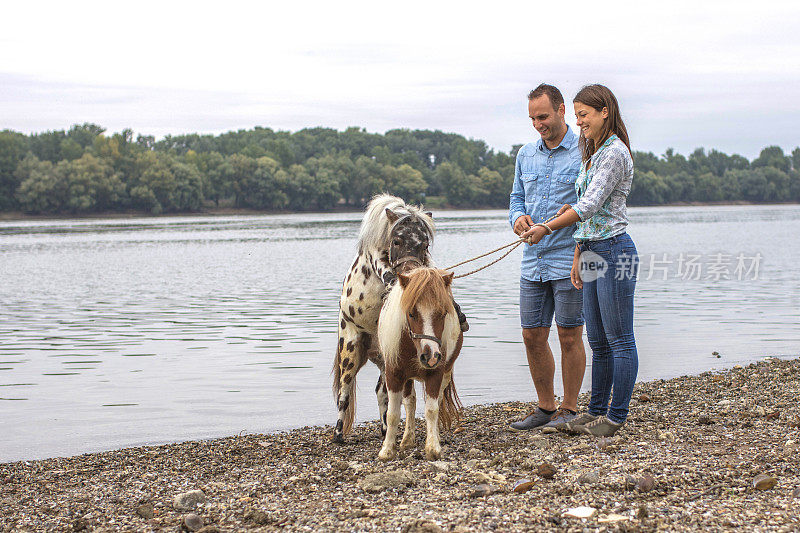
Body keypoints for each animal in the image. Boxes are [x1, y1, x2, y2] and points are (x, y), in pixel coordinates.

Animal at [332, 193, 438, 442]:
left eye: (425, 244)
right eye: (396, 241)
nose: (410, 271)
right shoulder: (377, 260)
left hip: (385, 356)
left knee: (382, 392)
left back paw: (384, 429)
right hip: (349, 352)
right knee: (344, 391)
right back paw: (338, 434)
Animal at [380, 268, 466, 460]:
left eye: (442, 314)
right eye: (411, 313)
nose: (431, 357)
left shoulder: (436, 374)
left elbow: (432, 410)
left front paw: (433, 448)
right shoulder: (393, 375)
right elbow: (393, 414)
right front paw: (387, 450)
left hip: (445, 374)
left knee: (437, 401)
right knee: (410, 402)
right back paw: (407, 439)